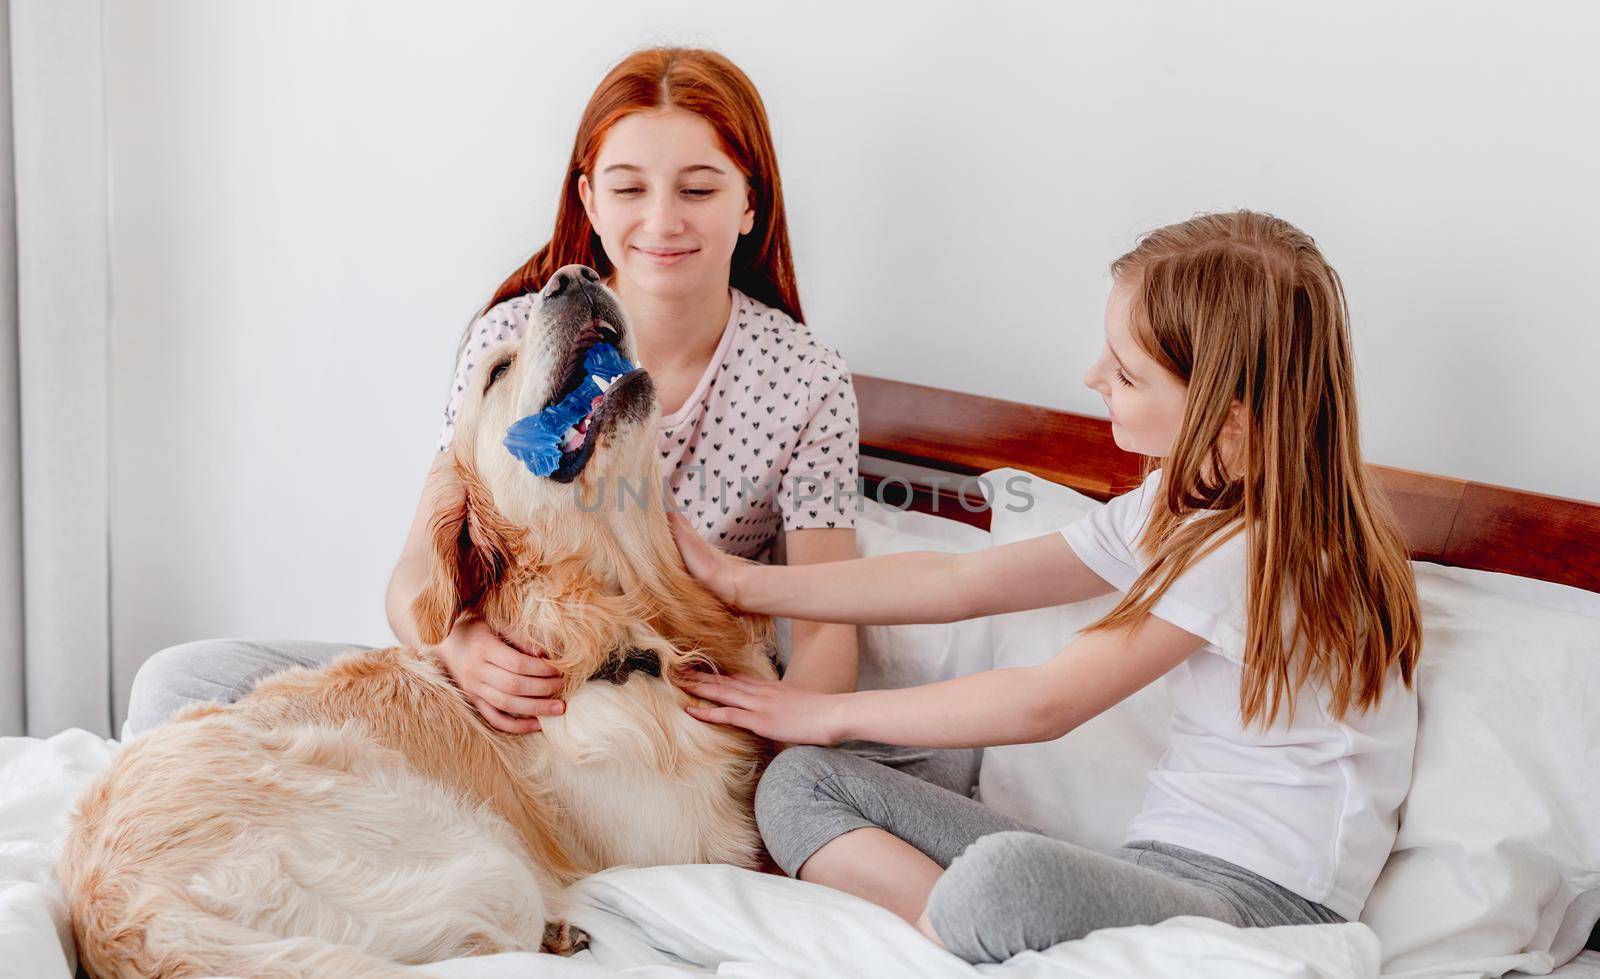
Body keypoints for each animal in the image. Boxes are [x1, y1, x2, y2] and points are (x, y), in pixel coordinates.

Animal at [60, 267, 780, 978]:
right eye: (497, 371)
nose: (574, 275)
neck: (604, 616)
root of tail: (117, 915)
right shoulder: (687, 844)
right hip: (484, 864)